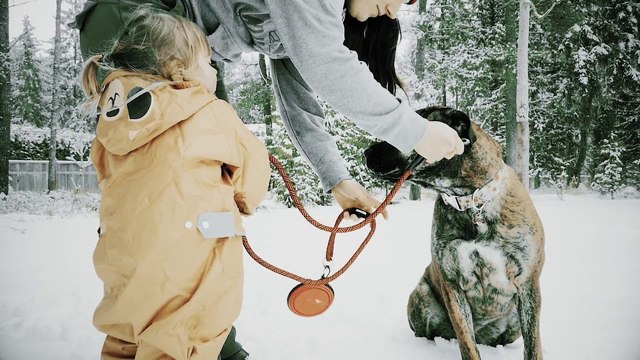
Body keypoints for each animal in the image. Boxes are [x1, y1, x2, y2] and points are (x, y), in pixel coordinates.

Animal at [364, 107, 544, 360]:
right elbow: (467, 344)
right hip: (421, 295)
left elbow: (533, 347)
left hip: (515, 321)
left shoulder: (528, 285)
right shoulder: (452, 283)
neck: (471, 202)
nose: (365, 152)